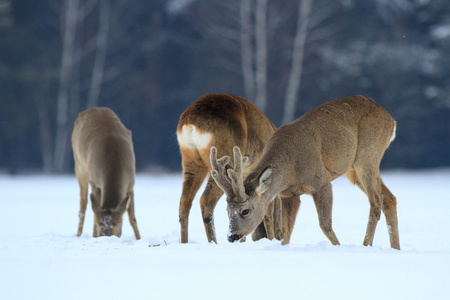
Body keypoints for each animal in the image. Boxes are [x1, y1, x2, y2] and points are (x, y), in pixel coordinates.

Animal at [71, 108, 141, 239]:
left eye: (117, 224)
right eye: (99, 224)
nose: (106, 236)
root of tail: (93, 108)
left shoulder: (131, 183)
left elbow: (132, 218)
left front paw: (139, 238)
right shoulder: (94, 181)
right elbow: (94, 213)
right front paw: (94, 236)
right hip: (79, 165)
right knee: (83, 204)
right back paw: (78, 235)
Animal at [176, 94, 282, 244]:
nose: (280, 236)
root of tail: (190, 121)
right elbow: (268, 214)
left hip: (190, 160)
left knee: (184, 202)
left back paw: (184, 242)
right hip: (223, 154)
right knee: (206, 200)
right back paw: (213, 242)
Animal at [209, 95, 400, 248]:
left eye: (245, 211)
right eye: (227, 210)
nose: (231, 236)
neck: (291, 169)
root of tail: (391, 120)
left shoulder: (321, 182)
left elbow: (325, 226)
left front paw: (338, 247)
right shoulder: (289, 194)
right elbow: (286, 234)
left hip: (368, 156)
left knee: (376, 203)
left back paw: (366, 245)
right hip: (353, 170)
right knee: (389, 199)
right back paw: (395, 248)